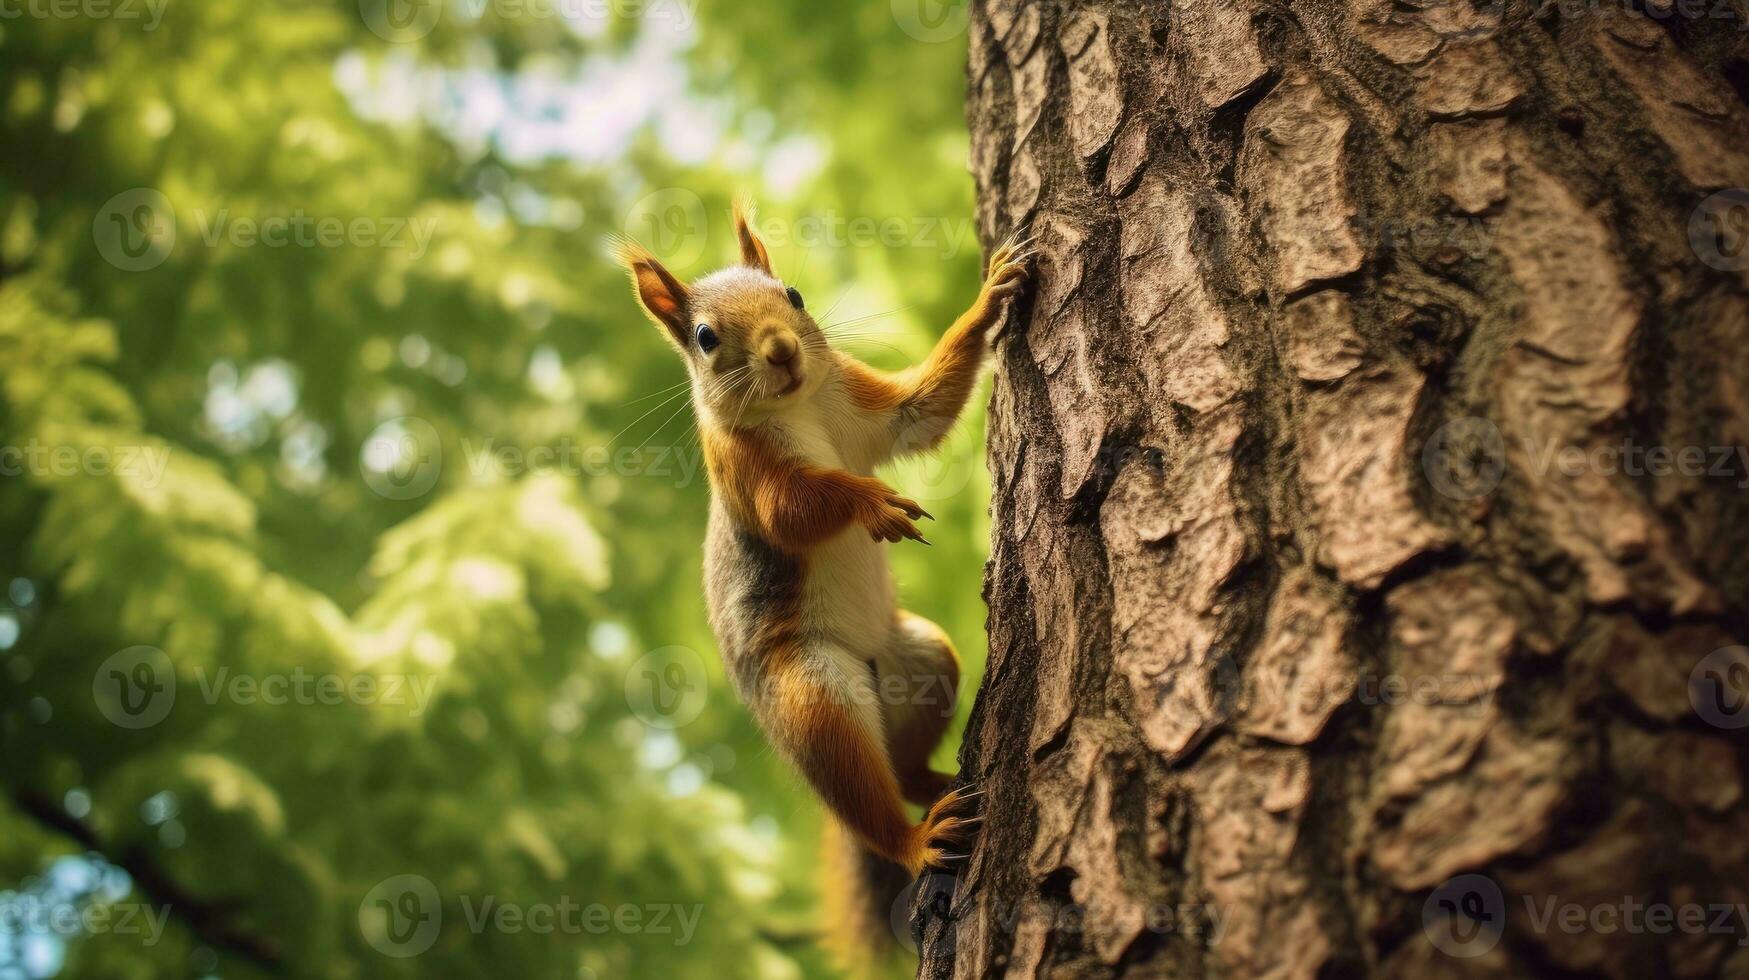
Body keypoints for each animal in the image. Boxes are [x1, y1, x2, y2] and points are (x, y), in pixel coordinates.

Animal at [615, 196, 1021, 952]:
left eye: (794, 295)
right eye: (706, 337)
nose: (780, 349)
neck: (799, 404)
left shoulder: (863, 401)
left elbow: (921, 407)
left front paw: (989, 298)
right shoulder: (748, 472)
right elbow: (799, 510)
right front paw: (871, 504)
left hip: (919, 657)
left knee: (902, 767)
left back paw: (933, 783)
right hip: (811, 692)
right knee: (860, 790)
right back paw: (916, 839)